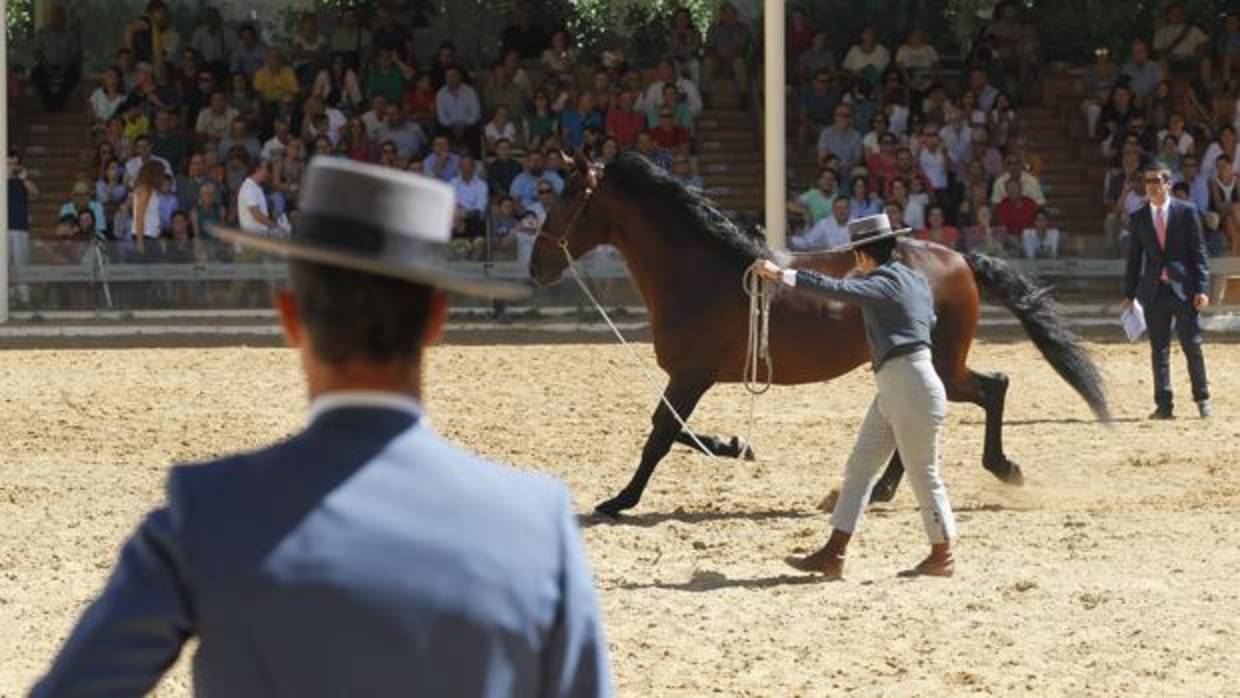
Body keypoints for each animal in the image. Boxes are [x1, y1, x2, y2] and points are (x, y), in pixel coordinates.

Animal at [528, 154, 1111, 518]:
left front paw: (619, 501)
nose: (537, 267)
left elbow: (660, 435)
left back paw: (999, 469)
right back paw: (886, 488)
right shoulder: (692, 377)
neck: (699, 270)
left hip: (942, 361)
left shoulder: (691, 375)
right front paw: (735, 445)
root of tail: (960, 258)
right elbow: (674, 432)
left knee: (992, 387)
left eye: (570, 198)